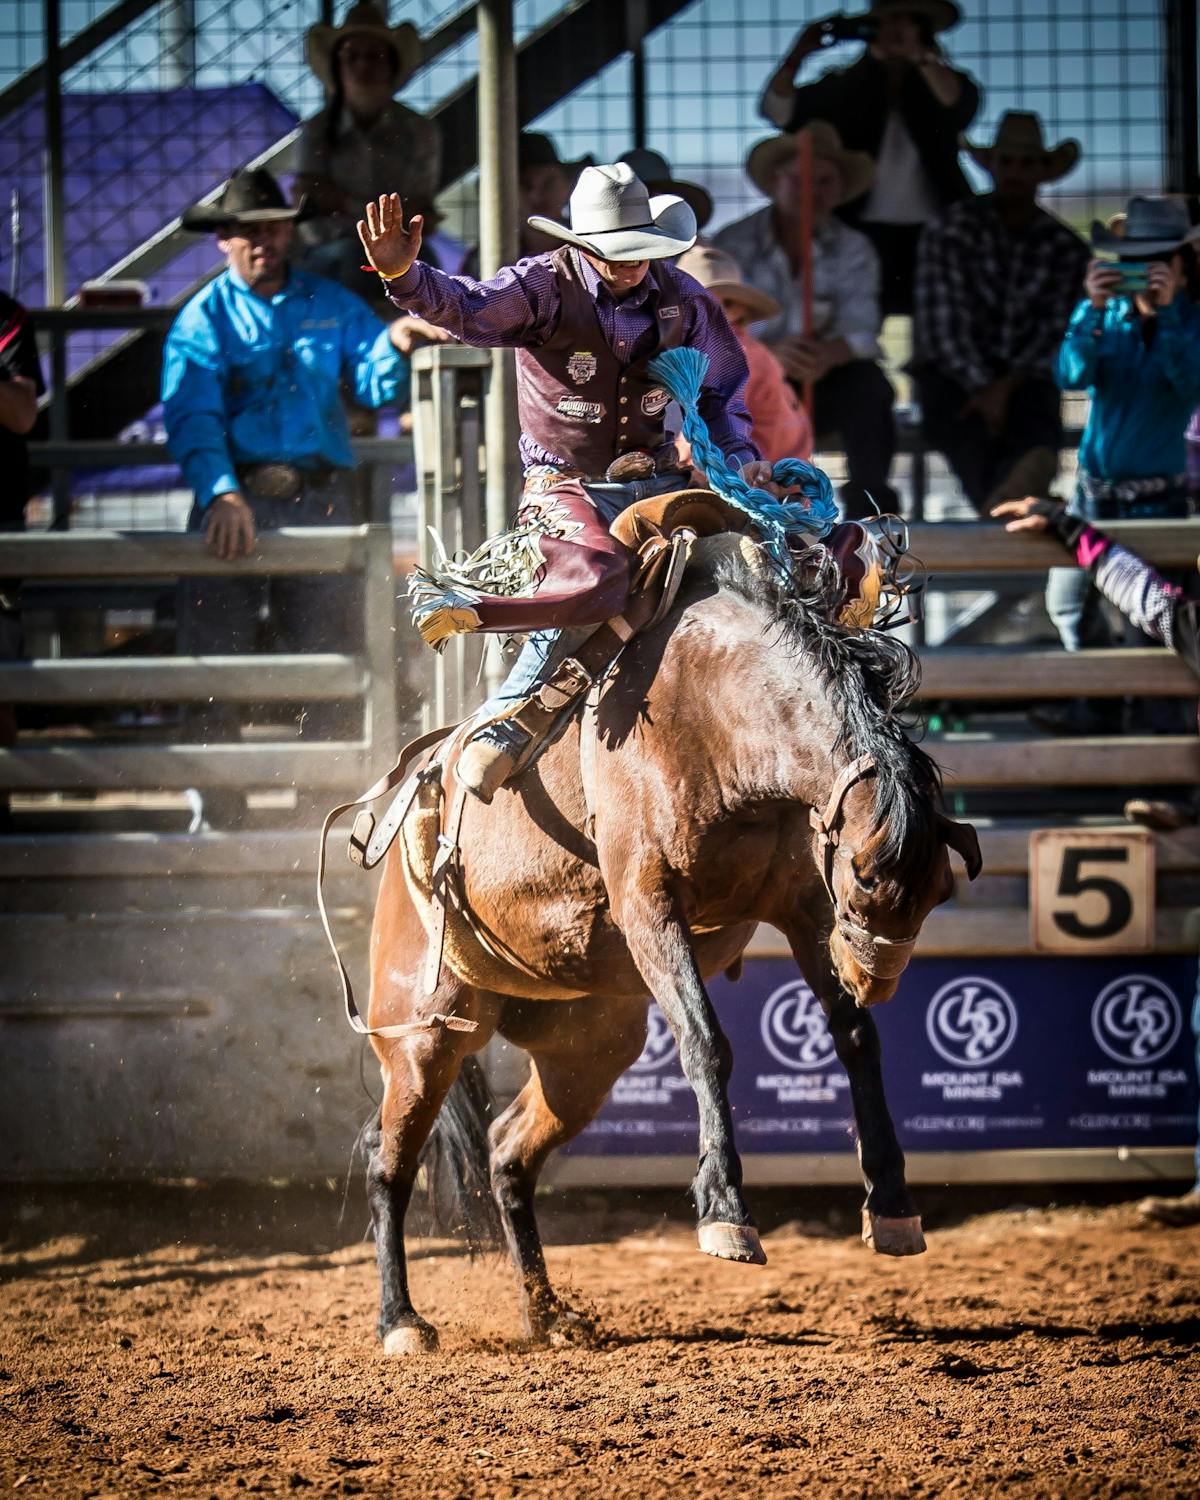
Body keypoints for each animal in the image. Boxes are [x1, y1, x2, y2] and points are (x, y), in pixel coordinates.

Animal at [361, 534, 978, 1356]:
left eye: (940, 891)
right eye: (868, 876)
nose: (874, 977)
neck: (716, 712)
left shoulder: (802, 908)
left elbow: (856, 1040)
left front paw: (892, 1201)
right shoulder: (647, 902)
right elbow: (706, 1041)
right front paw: (725, 1212)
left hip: (589, 1050)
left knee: (506, 1149)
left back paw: (548, 1314)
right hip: (423, 1033)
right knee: (388, 1162)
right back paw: (401, 1320)